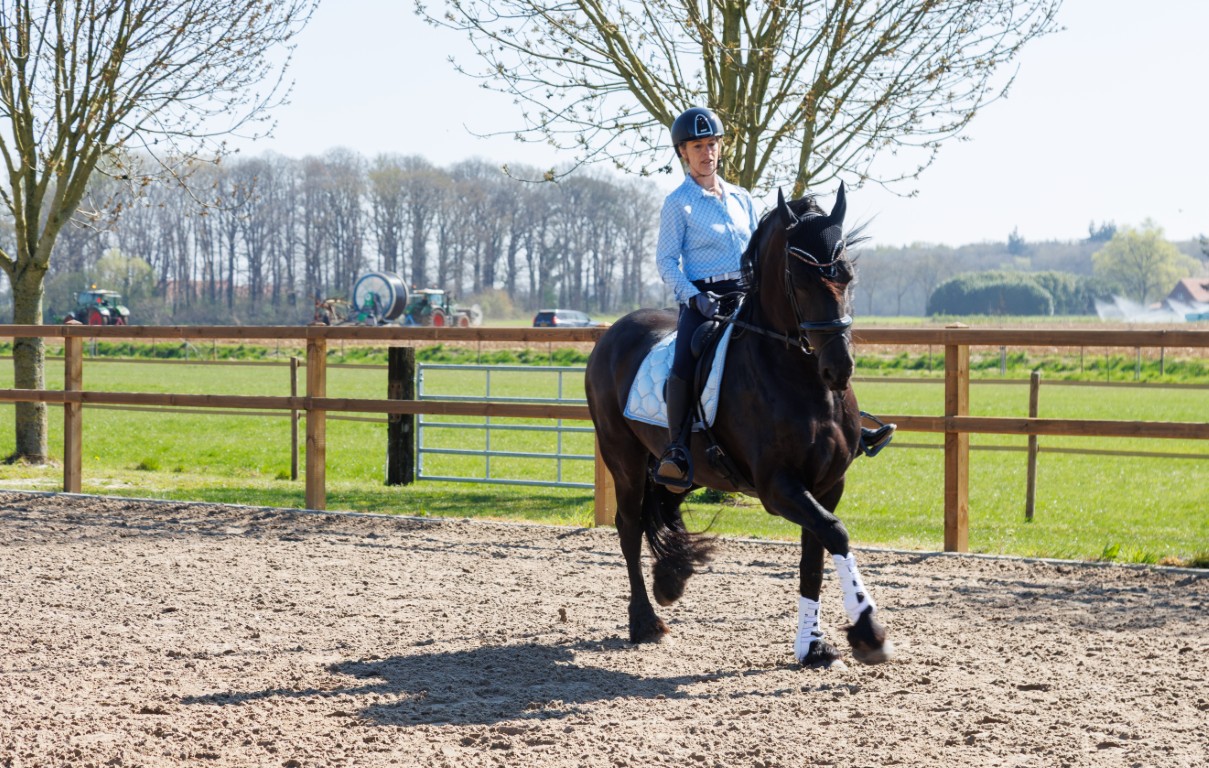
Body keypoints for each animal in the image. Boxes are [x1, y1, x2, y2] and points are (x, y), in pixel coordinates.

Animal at [584, 184, 892, 667]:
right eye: (799, 280)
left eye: (846, 275)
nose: (839, 368)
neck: (800, 379)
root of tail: (612, 334)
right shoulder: (777, 486)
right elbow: (836, 533)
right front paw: (868, 631)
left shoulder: (826, 485)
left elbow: (814, 557)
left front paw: (813, 644)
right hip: (623, 457)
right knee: (630, 525)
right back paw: (646, 621)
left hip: (680, 468)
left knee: (664, 502)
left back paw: (671, 578)